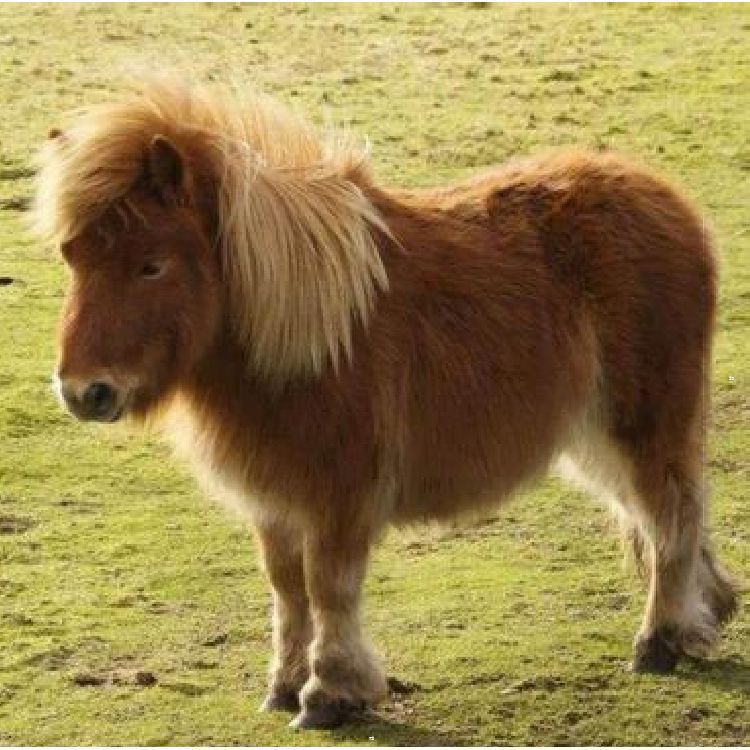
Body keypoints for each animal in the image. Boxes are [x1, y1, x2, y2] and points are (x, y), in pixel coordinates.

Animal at [35, 73, 738, 730]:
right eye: (72, 257)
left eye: (151, 265)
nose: (83, 391)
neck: (304, 331)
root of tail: (671, 202)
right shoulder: (275, 498)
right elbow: (286, 590)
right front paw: (283, 685)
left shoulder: (338, 493)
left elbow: (329, 589)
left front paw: (330, 693)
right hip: (593, 435)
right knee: (656, 512)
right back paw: (706, 613)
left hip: (643, 422)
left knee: (669, 511)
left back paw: (660, 641)